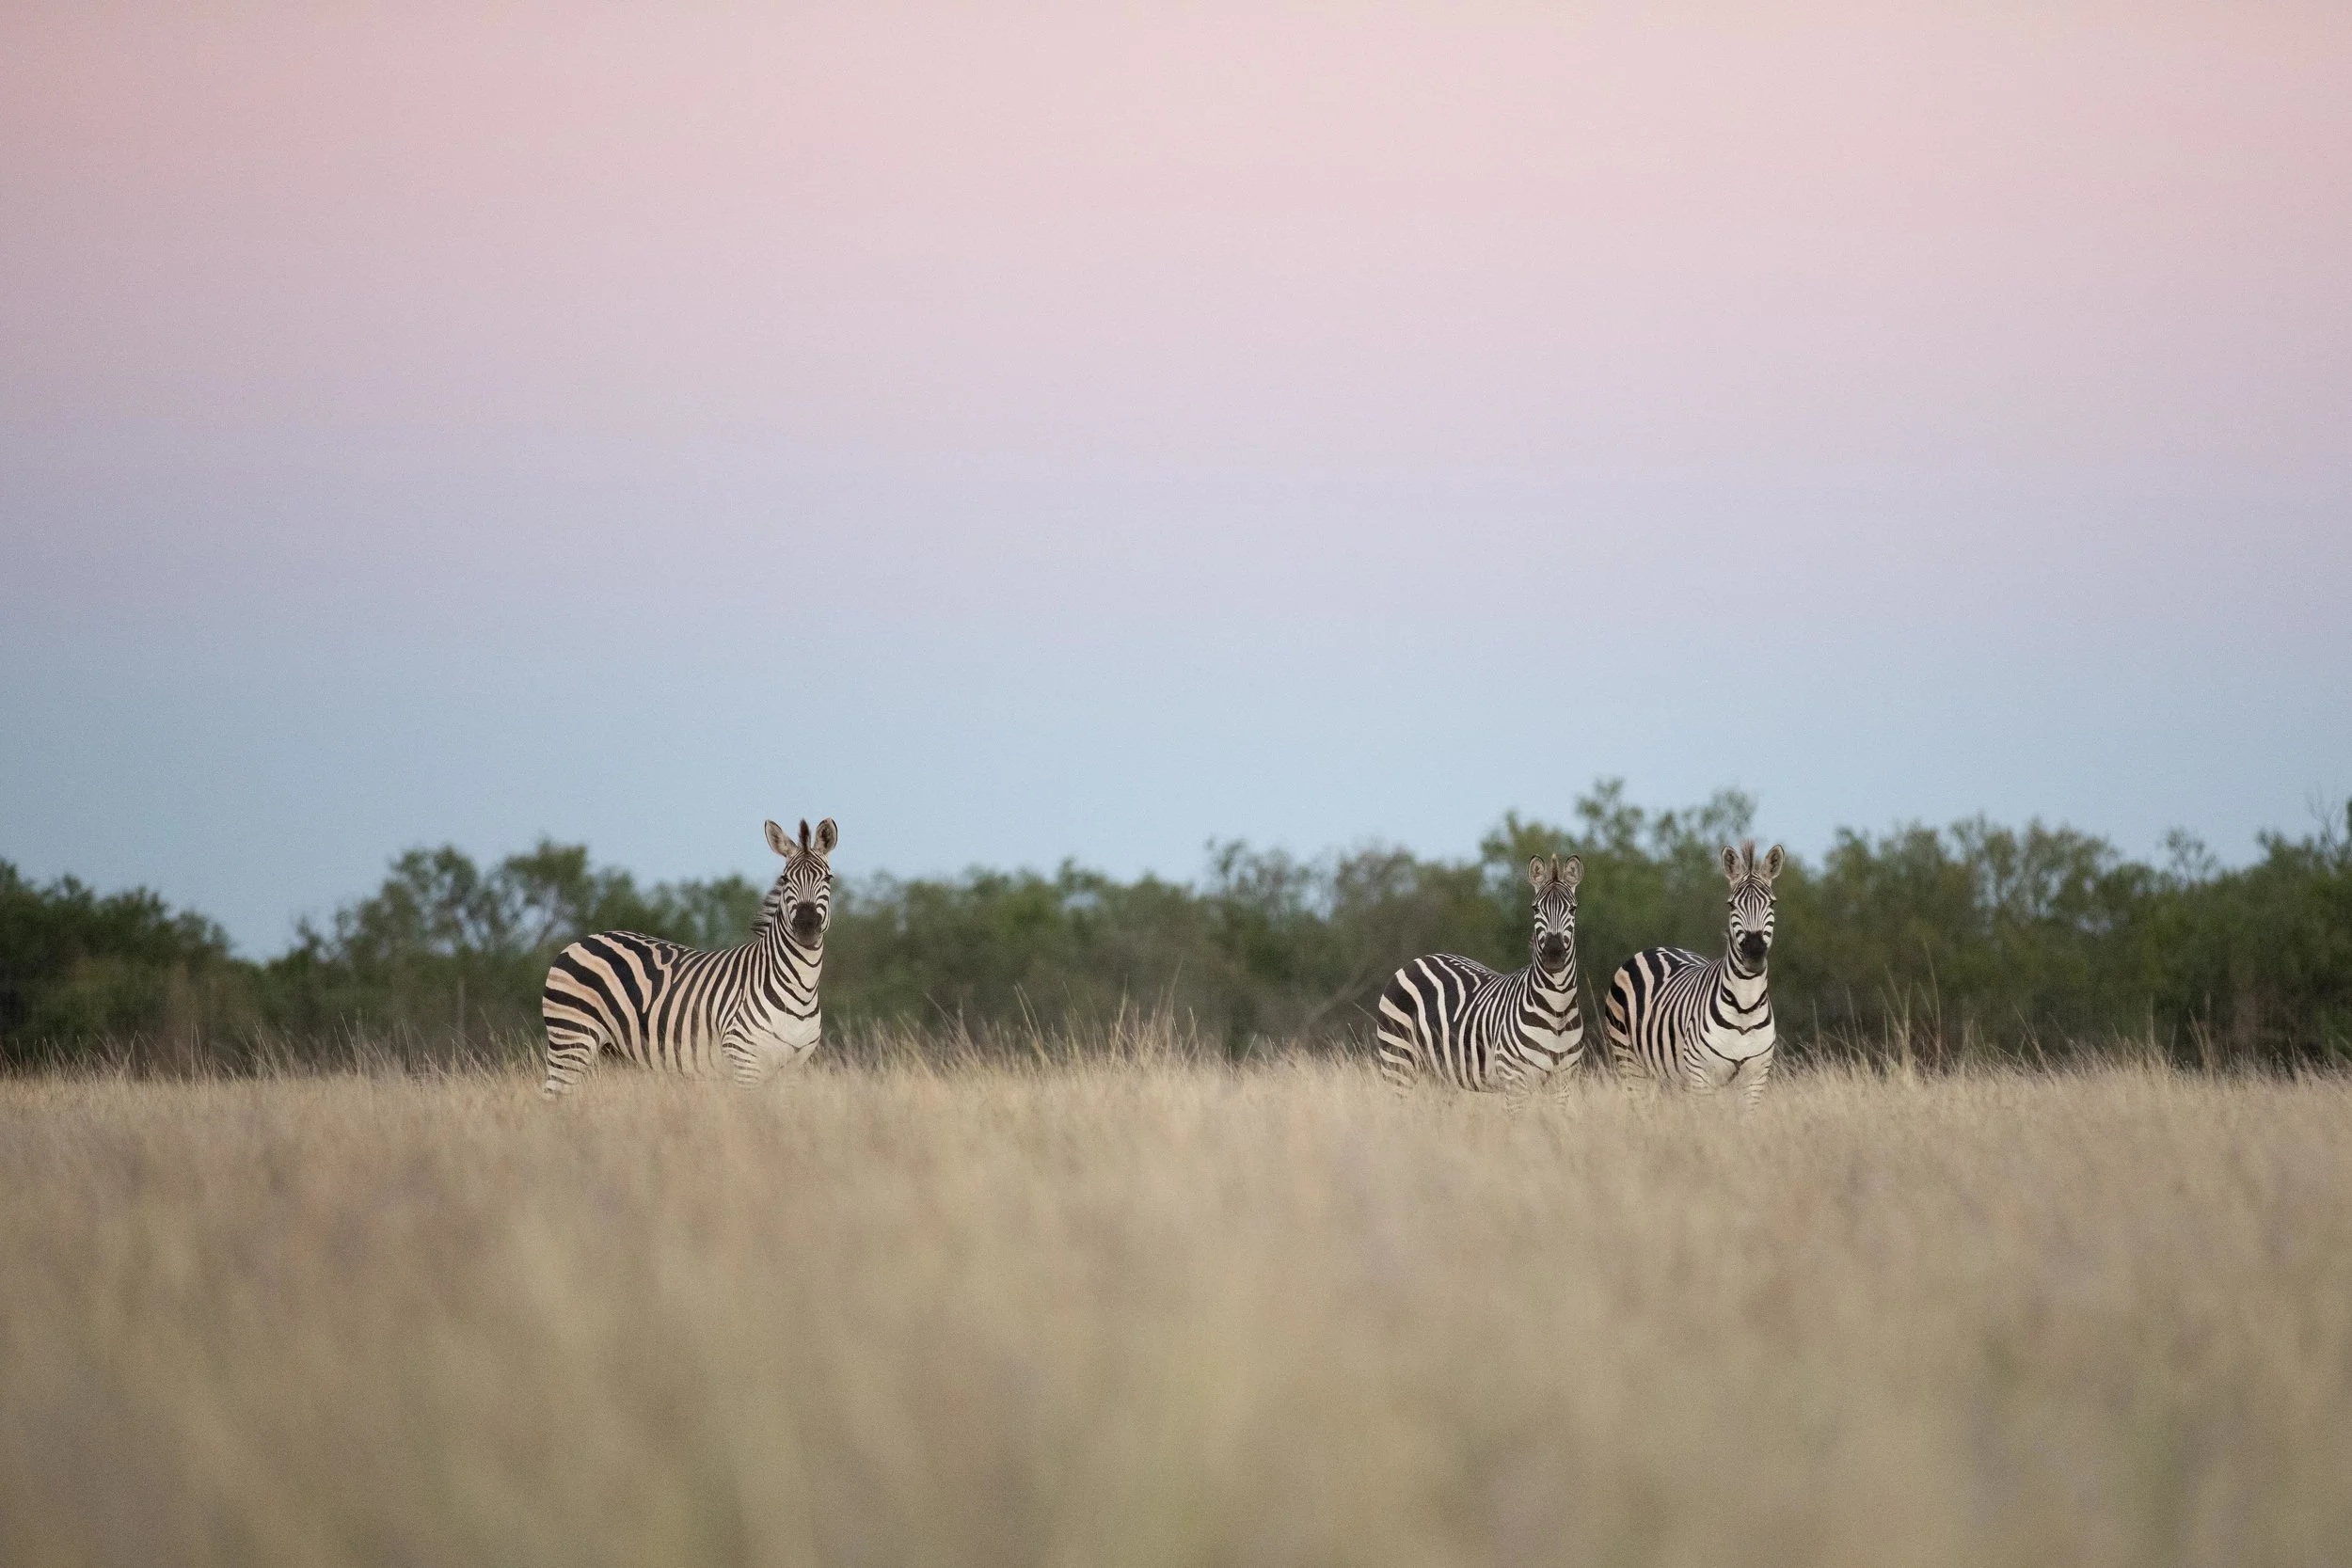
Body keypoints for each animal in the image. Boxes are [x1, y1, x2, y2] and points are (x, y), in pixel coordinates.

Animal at [540, 816, 837, 1096]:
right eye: (785, 879)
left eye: (828, 879)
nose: (807, 925)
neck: (801, 989)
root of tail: (579, 941)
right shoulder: (746, 1063)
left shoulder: (792, 1069)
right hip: (571, 1037)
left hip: (611, 1050)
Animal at [1374, 854, 1587, 1092]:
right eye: (1535, 909)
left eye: (1573, 909)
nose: (1553, 955)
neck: (1557, 1007)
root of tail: (1417, 960)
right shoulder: (1515, 1080)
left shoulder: (1564, 1082)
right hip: (1398, 1060)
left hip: (1438, 1073)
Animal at [1603, 840, 1784, 1107]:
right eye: (1731, 905)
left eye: (1771, 903)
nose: (1754, 955)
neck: (1745, 1007)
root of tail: (1656, 948)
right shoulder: (1702, 1076)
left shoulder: (1755, 1078)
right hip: (1629, 1059)